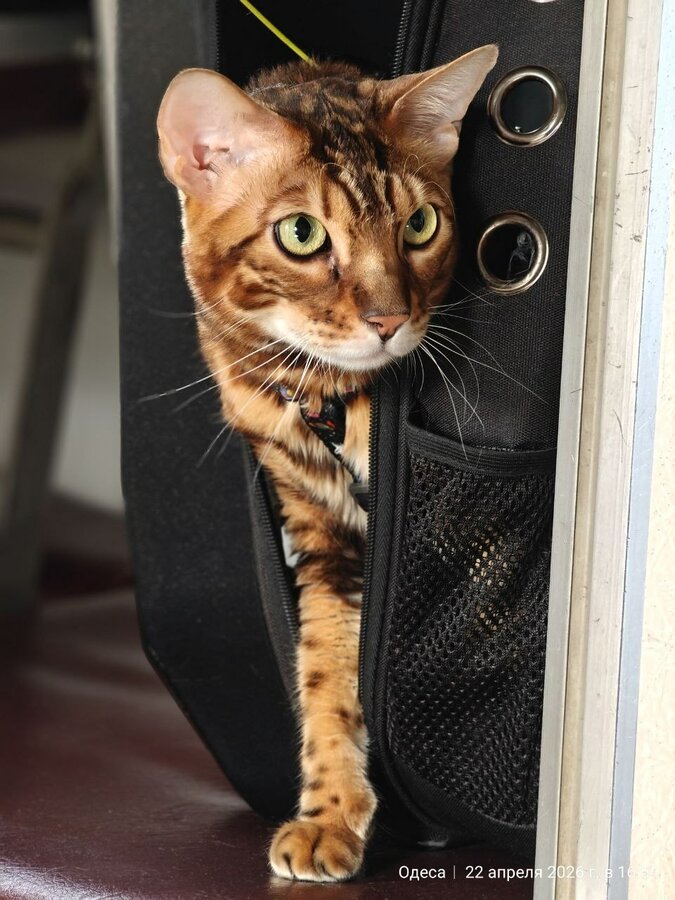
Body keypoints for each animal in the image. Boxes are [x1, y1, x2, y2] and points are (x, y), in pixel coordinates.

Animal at [157, 44, 497, 882]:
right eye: (302, 234)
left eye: (420, 223)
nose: (388, 320)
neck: (326, 395)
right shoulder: (323, 534)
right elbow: (326, 669)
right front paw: (329, 817)